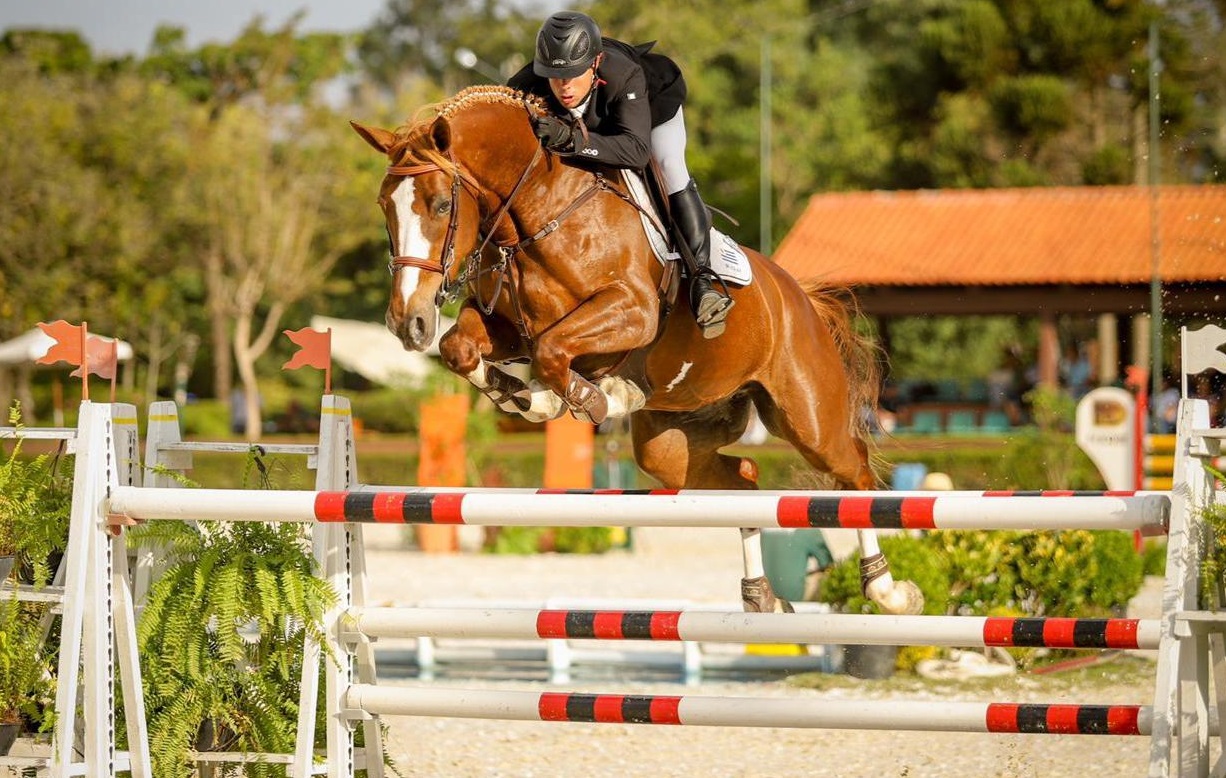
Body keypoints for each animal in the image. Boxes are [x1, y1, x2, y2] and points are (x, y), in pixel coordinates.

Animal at [345, 85, 921, 617]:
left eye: (442, 205)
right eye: (383, 207)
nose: (407, 322)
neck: (541, 209)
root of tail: (798, 294)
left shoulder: (631, 311)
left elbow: (553, 353)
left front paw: (576, 400)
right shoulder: (507, 326)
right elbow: (460, 347)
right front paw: (518, 394)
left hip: (807, 419)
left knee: (855, 474)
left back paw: (888, 590)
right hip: (673, 443)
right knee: (746, 479)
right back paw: (764, 596)